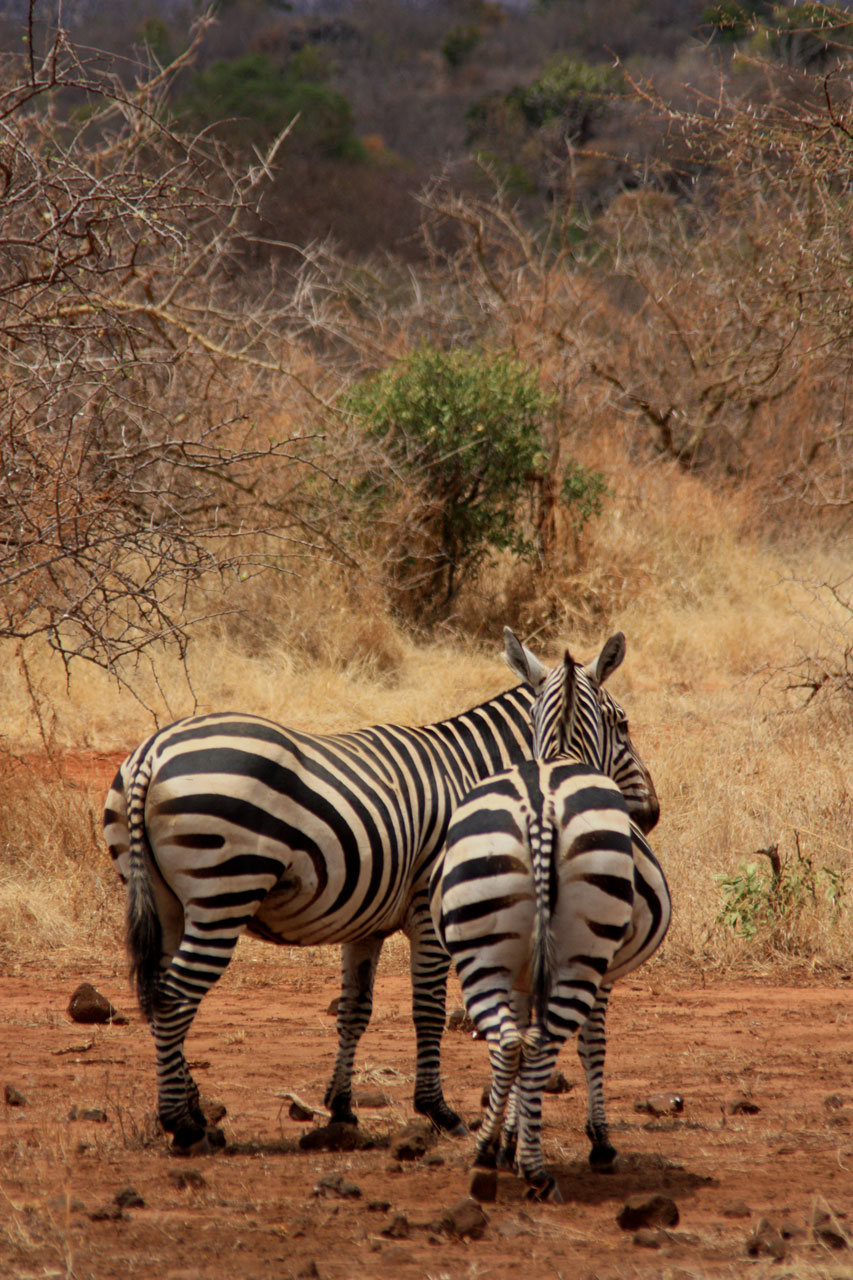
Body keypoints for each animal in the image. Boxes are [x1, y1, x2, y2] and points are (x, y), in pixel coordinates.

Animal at [101, 627, 655, 1152]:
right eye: (623, 723)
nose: (650, 813)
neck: (478, 771)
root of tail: (151, 754)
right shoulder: (431, 906)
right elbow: (428, 1010)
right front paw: (437, 1111)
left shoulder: (363, 922)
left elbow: (354, 1011)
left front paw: (342, 1107)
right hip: (223, 891)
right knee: (174, 997)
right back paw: (182, 1124)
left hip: (164, 901)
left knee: (160, 993)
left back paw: (193, 1110)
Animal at [427, 650, 666, 1198]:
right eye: (623, 723)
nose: (650, 811)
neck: (559, 753)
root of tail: (540, 807)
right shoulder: (603, 973)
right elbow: (592, 1045)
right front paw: (598, 1142)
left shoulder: (521, 973)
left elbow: (517, 1040)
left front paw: (509, 1138)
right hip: (583, 958)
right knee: (541, 1045)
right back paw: (537, 1171)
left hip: (481, 953)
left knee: (509, 1042)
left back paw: (485, 1154)